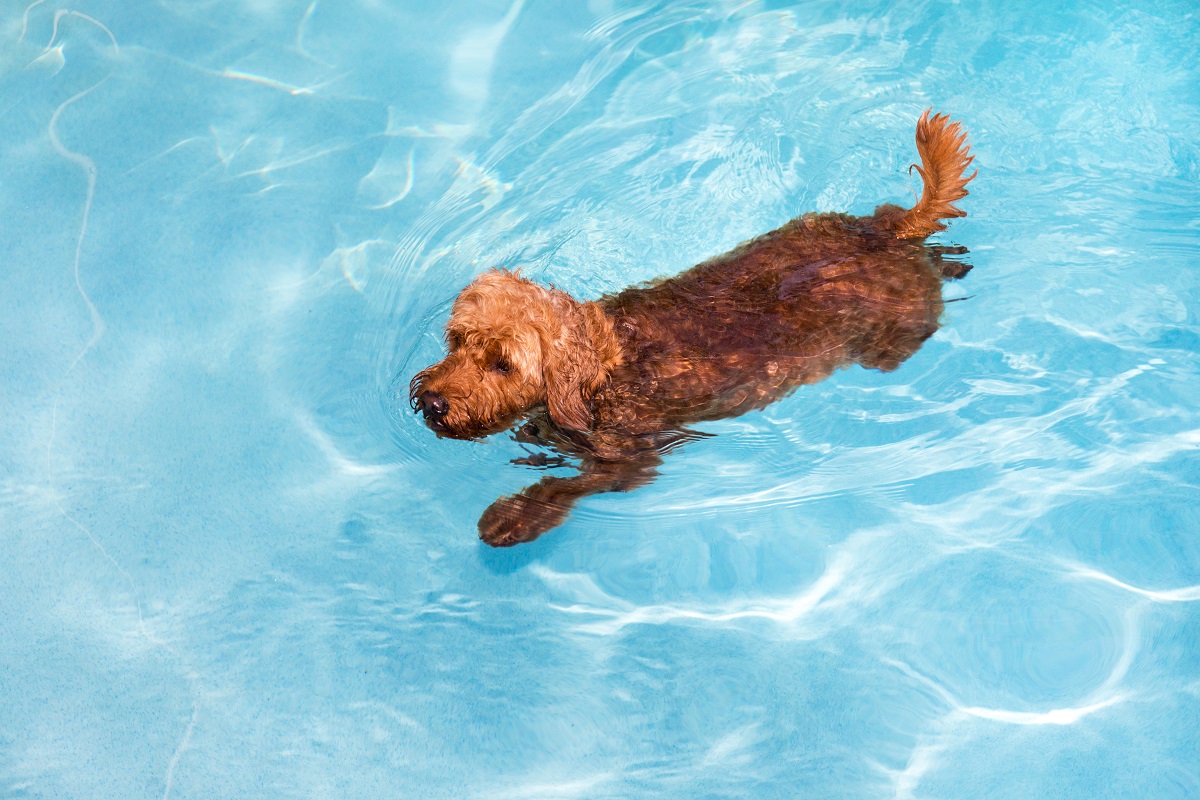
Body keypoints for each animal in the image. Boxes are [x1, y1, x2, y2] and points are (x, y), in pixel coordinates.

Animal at [412, 109, 974, 546]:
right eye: (456, 340)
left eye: (503, 364)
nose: (433, 403)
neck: (608, 366)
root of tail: (884, 232)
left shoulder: (631, 458)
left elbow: (570, 487)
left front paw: (515, 516)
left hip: (893, 339)